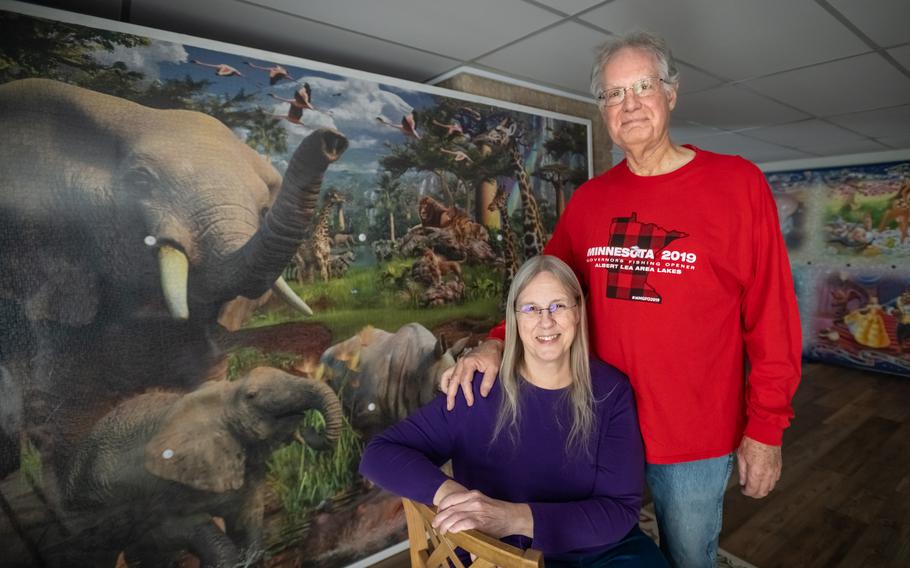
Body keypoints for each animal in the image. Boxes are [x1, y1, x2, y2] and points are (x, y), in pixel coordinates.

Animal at [57, 368, 344, 568]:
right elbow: (176, 530)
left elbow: (248, 519)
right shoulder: (163, 489)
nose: (309, 429)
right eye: (252, 396)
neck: (221, 399)